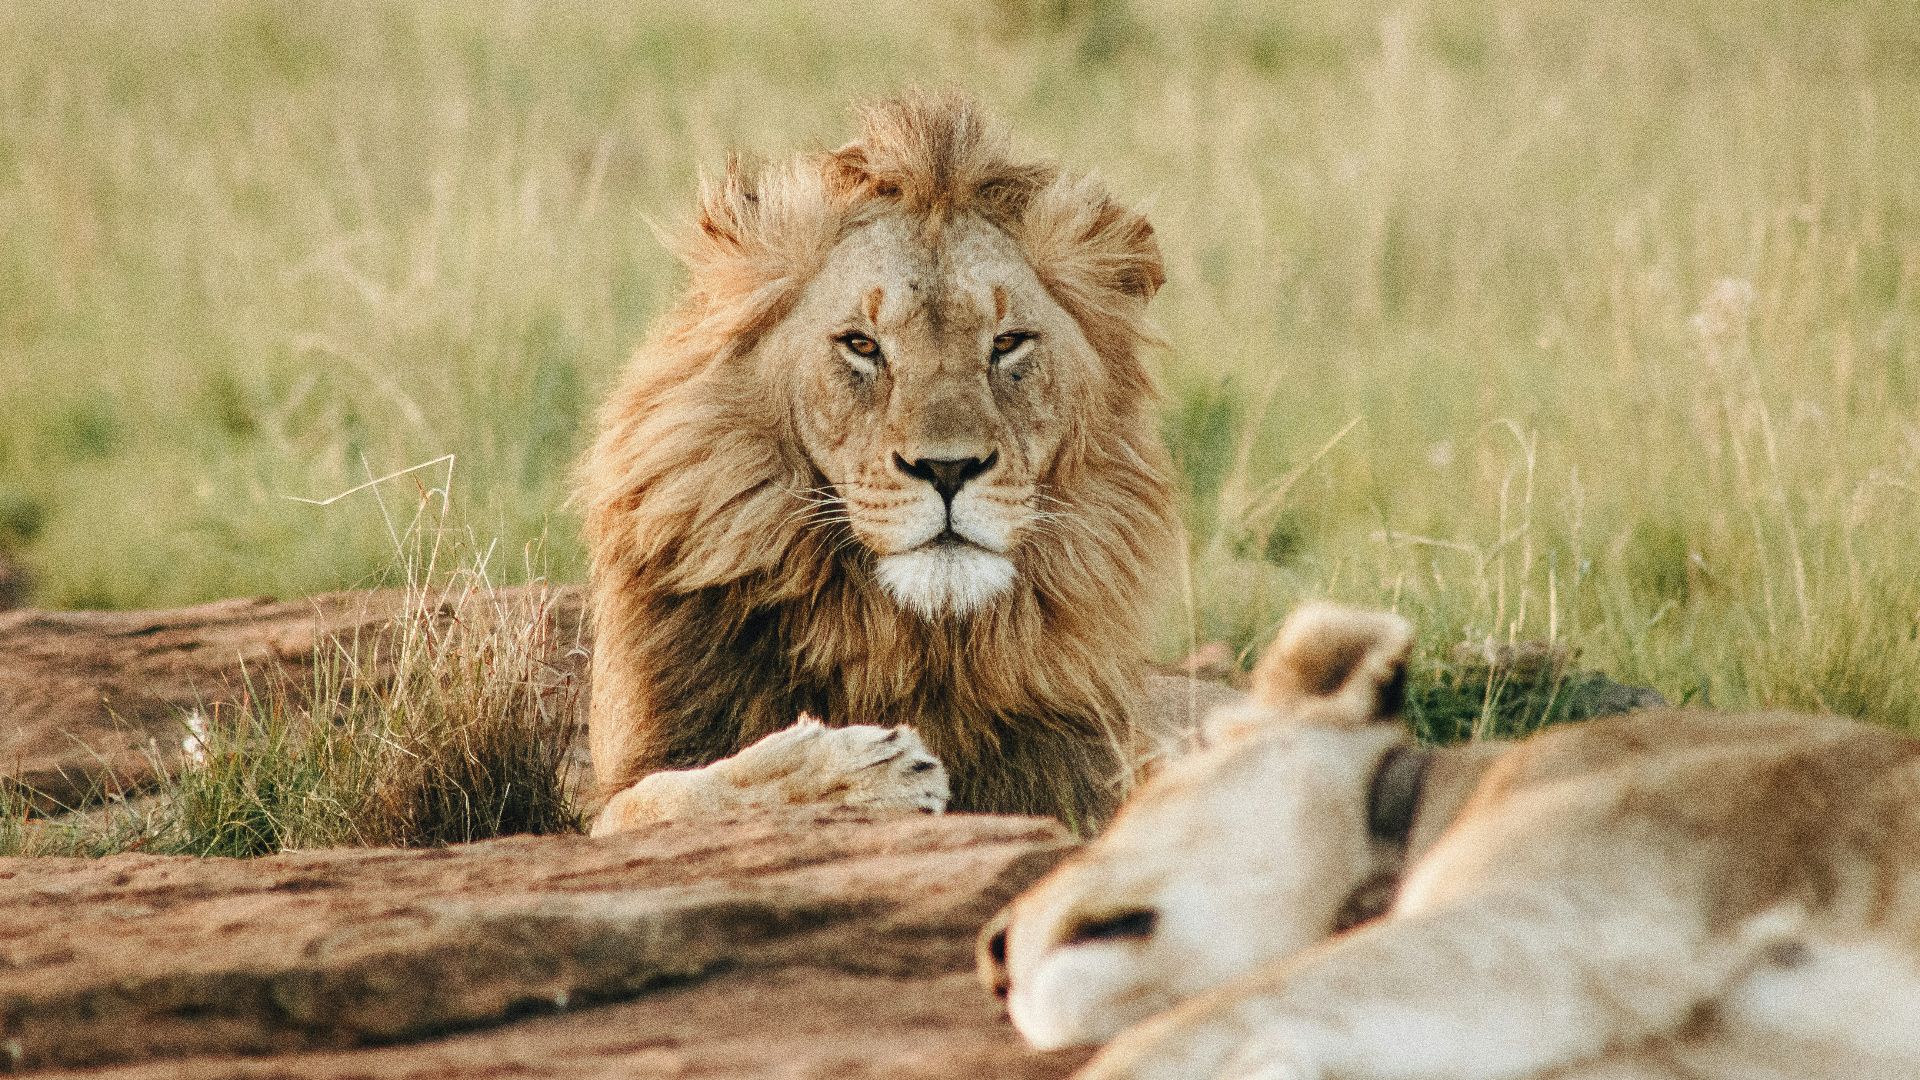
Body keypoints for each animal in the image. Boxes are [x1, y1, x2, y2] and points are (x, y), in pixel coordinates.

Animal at [576, 92, 1234, 828]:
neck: (907, 640)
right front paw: (859, 772)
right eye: (861, 344)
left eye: (1008, 343)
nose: (948, 470)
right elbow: (669, 796)